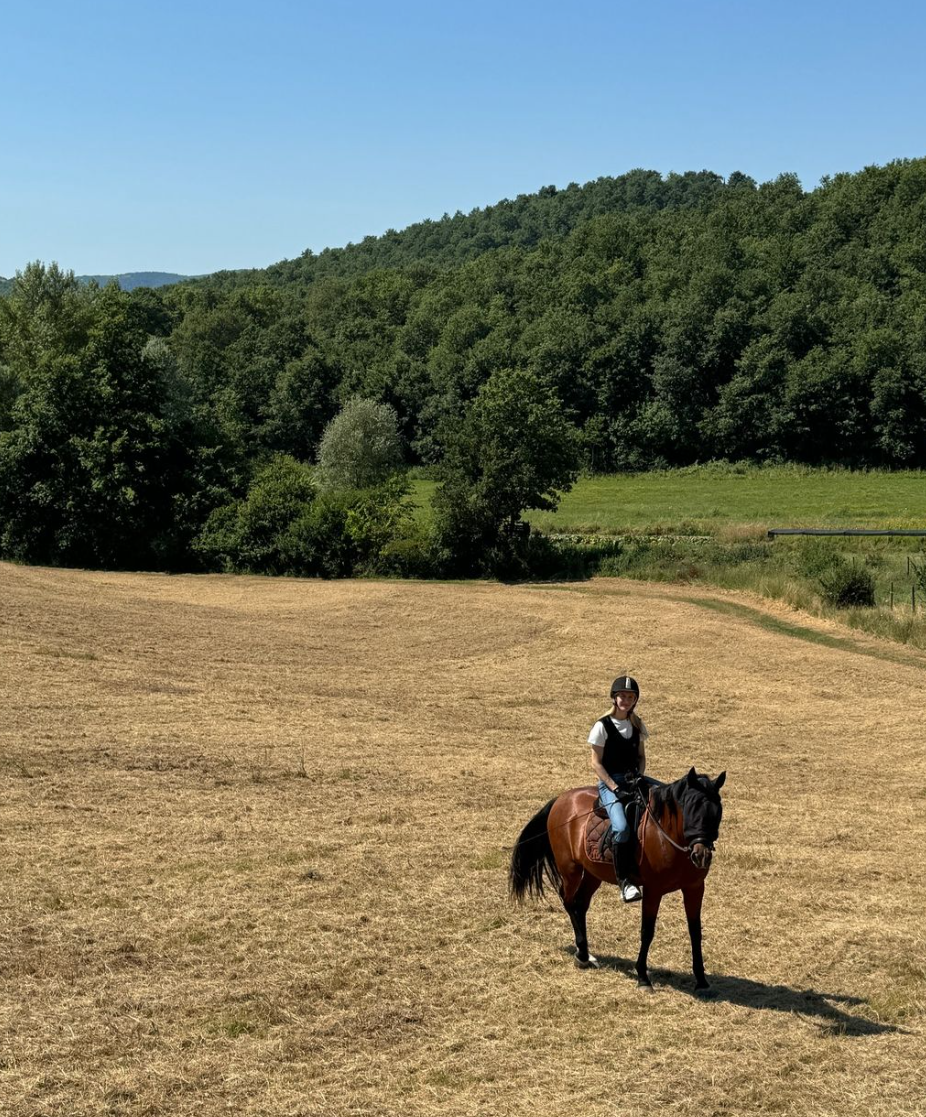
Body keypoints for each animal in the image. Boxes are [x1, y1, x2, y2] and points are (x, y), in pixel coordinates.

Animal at [509, 768, 728, 996]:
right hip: (570, 870)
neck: (667, 835)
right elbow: (647, 932)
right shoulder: (653, 890)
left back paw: (584, 953)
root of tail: (561, 799)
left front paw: (701, 980)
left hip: (592, 874)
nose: (701, 856)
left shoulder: (694, 888)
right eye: (691, 807)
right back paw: (582, 954)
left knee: (580, 904)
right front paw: (642, 977)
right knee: (568, 901)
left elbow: (695, 932)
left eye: (717, 811)